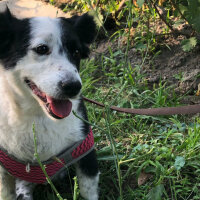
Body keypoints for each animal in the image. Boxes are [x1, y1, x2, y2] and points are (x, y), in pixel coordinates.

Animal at [0, 7, 99, 199]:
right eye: (41, 49)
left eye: (76, 52)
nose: (73, 87)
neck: (37, 116)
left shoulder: (84, 150)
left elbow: (88, 190)